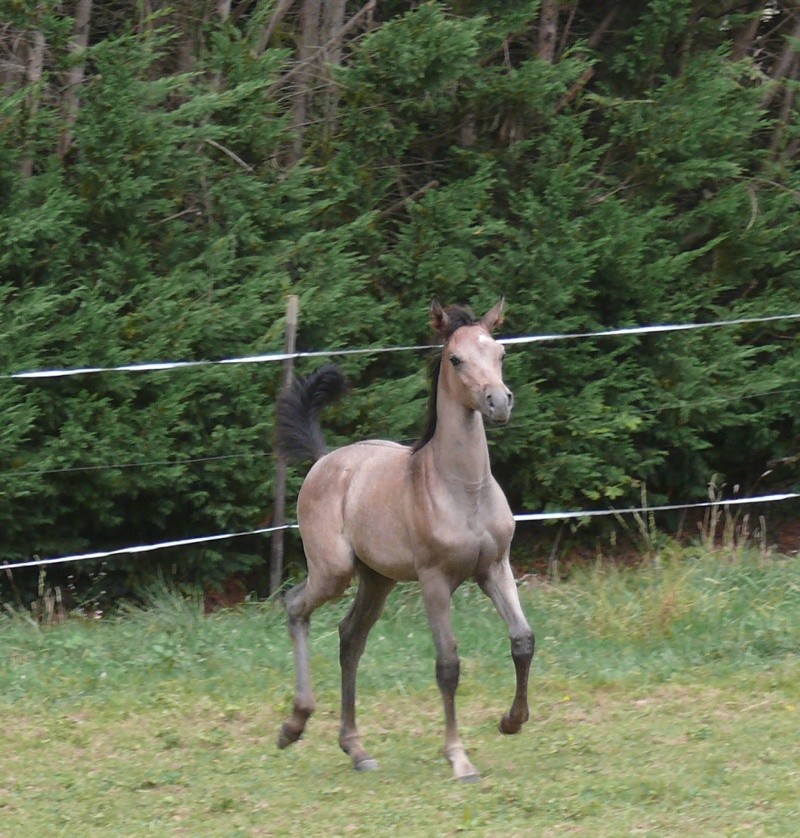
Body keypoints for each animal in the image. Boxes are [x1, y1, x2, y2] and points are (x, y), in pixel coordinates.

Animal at [274, 300, 532, 780]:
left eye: (501, 352)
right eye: (456, 359)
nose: (498, 402)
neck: (462, 489)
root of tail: (324, 461)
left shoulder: (494, 568)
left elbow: (523, 640)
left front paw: (512, 721)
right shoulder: (434, 581)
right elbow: (447, 665)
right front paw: (459, 757)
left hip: (378, 579)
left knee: (350, 638)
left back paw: (356, 749)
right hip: (334, 571)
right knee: (296, 606)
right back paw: (294, 725)